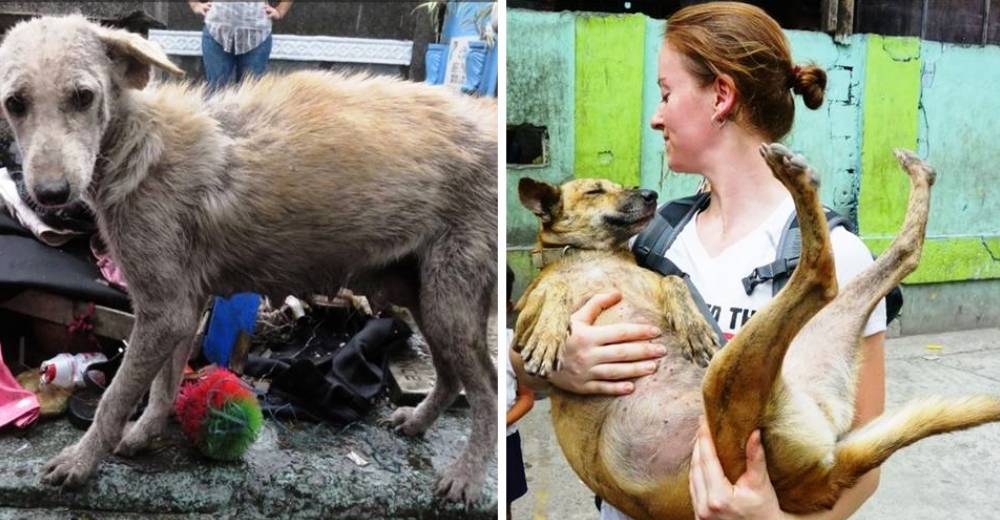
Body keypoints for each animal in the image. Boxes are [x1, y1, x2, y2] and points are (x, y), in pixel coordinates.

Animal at [0, 18, 500, 502]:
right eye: (15, 104)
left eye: (83, 97)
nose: (50, 195)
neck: (136, 147)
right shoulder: (180, 310)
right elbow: (162, 386)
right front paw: (144, 434)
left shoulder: (165, 312)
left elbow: (117, 395)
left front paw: (82, 460)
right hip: (422, 296)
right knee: (452, 377)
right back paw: (418, 421)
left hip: (449, 300)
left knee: (489, 387)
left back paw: (468, 475)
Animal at [516, 143, 1000, 520]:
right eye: (596, 190)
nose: (651, 194)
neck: (593, 257)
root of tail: (821, 477)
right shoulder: (521, 315)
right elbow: (551, 293)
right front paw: (548, 334)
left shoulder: (652, 278)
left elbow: (672, 281)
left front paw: (693, 325)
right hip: (745, 377)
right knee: (839, 272)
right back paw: (812, 176)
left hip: (738, 377)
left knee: (849, 267)